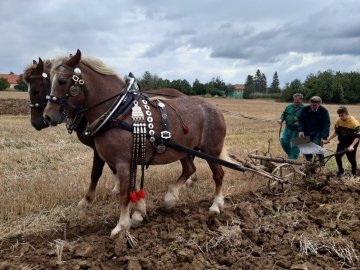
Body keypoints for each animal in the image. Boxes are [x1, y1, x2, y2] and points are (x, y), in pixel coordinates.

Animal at [24, 57, 191, 211]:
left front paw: (87, 199)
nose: (39, 121)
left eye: (36, 90)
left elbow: (96, 172)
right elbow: (113, 168)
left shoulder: (99, 148)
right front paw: (121, 188)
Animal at [43, 49, 226, 237]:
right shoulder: (131, 159)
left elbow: (124, 194)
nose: (47, 116)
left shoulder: (123, 162)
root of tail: (214, 108)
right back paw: (170, 198)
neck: (117, 112)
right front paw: (139, 213)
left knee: (218, 175)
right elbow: (134, 187)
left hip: (211, 150)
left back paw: (216, 205)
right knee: (190, 169)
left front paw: (121, 226)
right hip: (183, 150)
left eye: (62, 81)